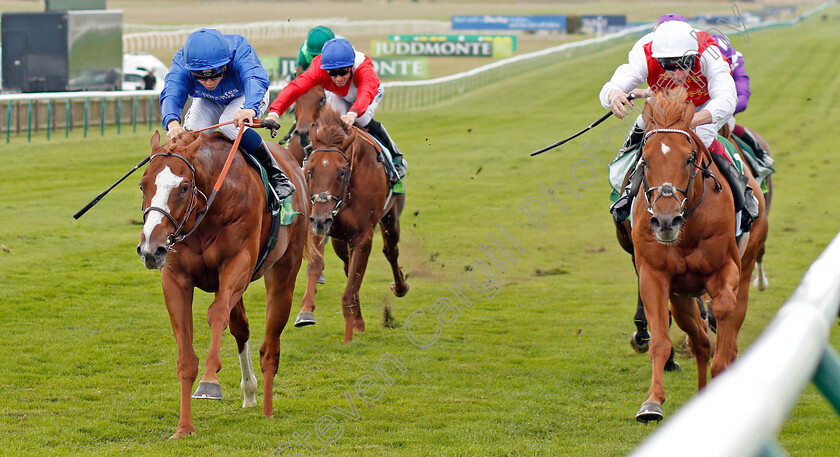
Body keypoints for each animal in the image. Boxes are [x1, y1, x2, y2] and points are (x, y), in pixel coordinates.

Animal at [138, 130, 308, 436]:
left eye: (184, 187)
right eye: (143, 185)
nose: (149, 249)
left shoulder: (238, 263)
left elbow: (216, 314)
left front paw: (209, 382)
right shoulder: (176, 279)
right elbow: (186, 358)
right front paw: (184, 427)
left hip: (284, 271)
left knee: (270, 347)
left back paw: (267, 410)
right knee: (242, 329)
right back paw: (250, 392)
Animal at [298, 107, 410, 342]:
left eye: (342, 171)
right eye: (310, 170)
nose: (322, 219)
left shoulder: (362, 235)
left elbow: (352, 282)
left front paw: (352, 326)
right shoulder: (318, 225)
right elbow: (316, 266)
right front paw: (305, 311)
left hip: (391, 218)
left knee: (391, 251)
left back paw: (400, 287)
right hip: (338, 238)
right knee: (347, 262)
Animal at [624, 91, 768, 422]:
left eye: (689, 158)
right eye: (645, 160)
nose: (666, 220)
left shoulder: (725, 269)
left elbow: (724, 311)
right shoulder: (654, 275)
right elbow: (660, 341)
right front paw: (652, 402)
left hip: (746, 266)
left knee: (731, 326)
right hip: (681, 297)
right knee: (700, 342)